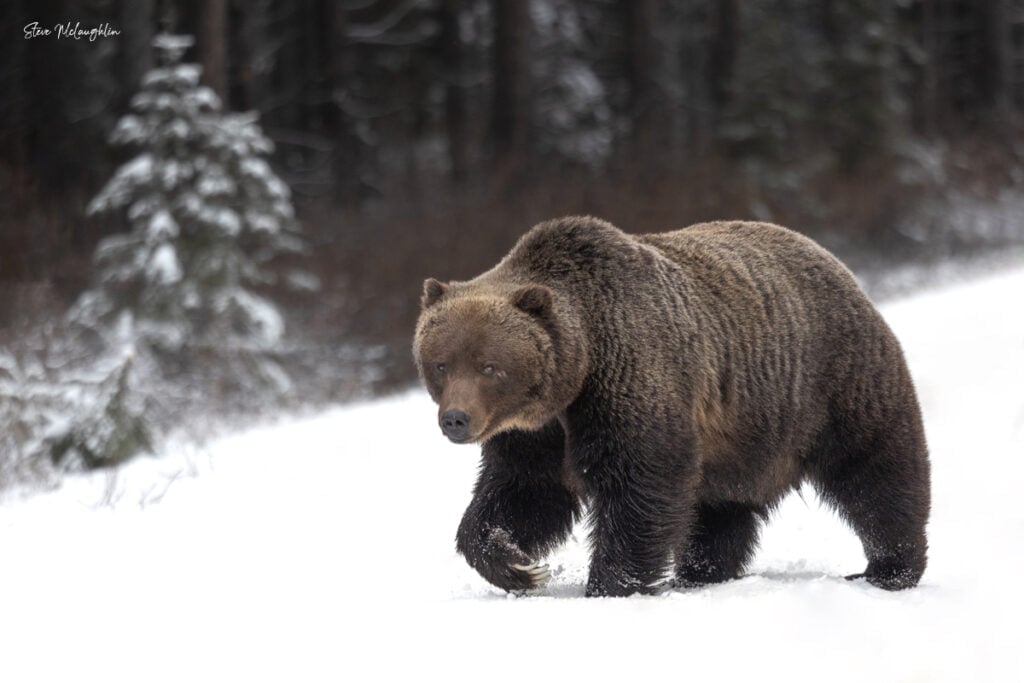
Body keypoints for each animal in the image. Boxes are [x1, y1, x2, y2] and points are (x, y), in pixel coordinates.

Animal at [413, 216, 930, 597]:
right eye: (440, 363)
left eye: (489, 366)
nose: (456, 420)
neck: (574, 378)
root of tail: (837, 265)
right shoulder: (536, 434)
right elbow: (523, 493)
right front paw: (519, 565)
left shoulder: (629, 380)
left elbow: (640, 482)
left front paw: (609, 584)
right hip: (741, 439)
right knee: (720, 509)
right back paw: (700, 572)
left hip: (832, 382)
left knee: (876, 471)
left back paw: (889, 567)